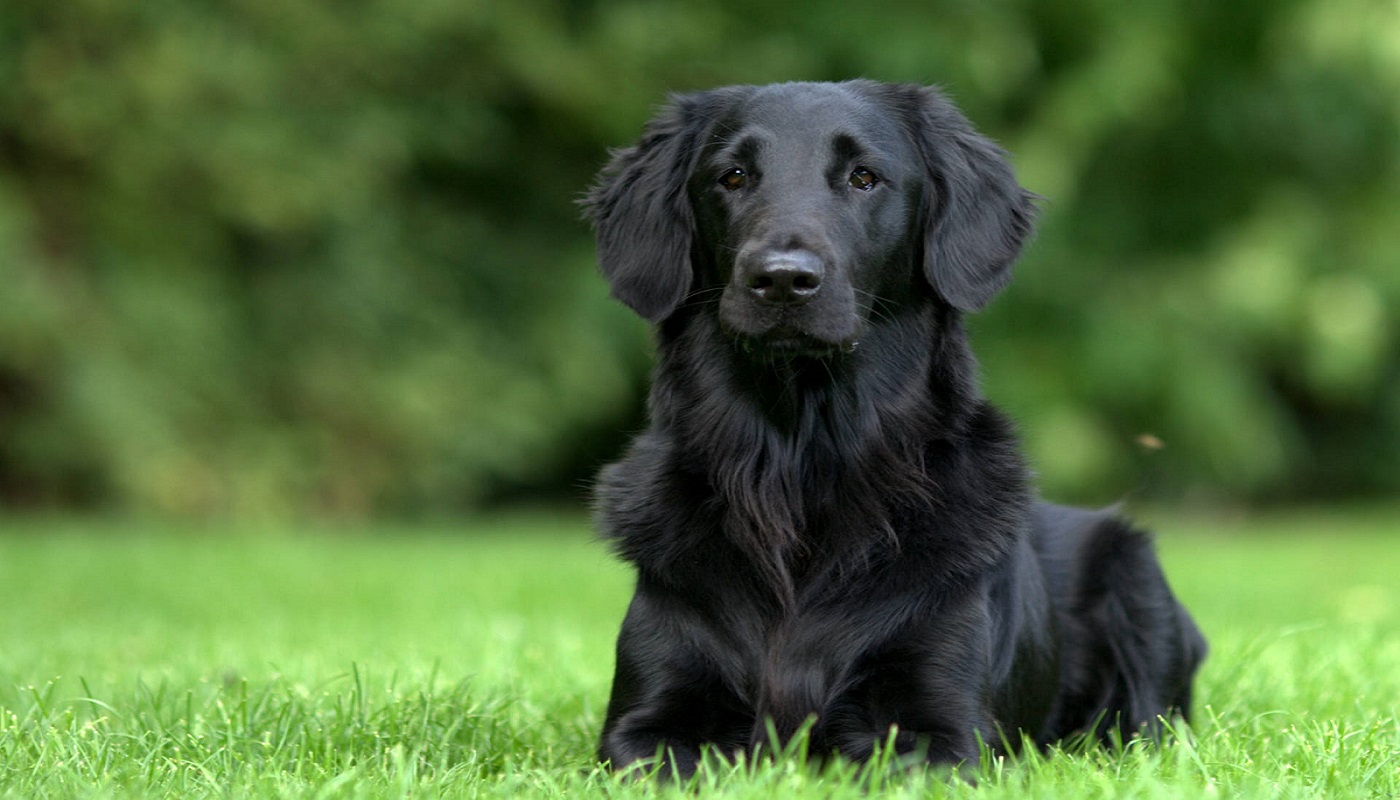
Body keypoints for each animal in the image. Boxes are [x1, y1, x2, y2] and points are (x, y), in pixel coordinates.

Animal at [579, 79, 1204, 778]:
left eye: (864, 177)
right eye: (732, 176)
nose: (782, 279)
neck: (799, 465)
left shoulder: (946, 731)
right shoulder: (645, 724)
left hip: (1137, 587)